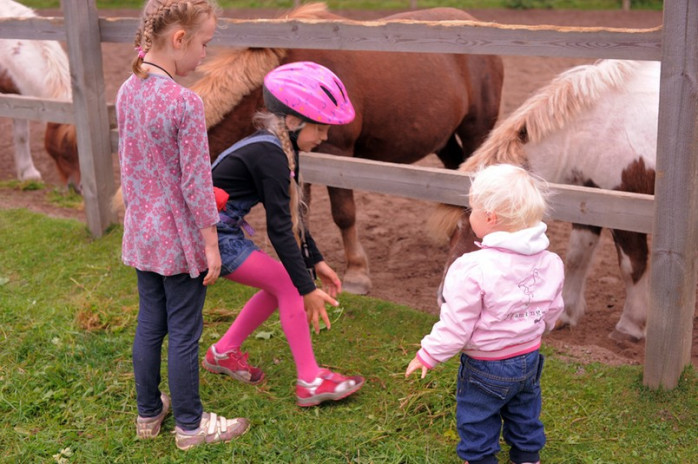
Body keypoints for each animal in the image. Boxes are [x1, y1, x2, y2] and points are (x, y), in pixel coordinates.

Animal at [191, 2, 504, 294]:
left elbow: (343, 214)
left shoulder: (336, 154)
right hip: (443, 138)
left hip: (477, 129)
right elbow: (301, 213)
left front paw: (356, 273)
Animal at [429, 59, 659, 342]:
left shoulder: (626, 211)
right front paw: (565, 314)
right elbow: (577, 255)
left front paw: (629, 327)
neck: (603, 125)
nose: (445, 299)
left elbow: (632, 265)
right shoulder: (588, 199)